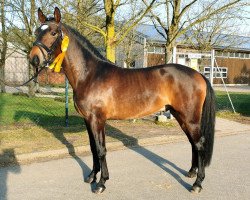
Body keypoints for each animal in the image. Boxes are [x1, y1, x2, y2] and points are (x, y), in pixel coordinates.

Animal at [29, 8, 215, 195]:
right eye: (37, 32)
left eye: (53, 33)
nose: (34, 59)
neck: (90, 75)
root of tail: (198, 75)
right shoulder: (88, 120)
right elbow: (93, 148)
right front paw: (92, 176)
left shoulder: (97, 120)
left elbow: (101, 149)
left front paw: (101, 183)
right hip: (181, 116)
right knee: (193, 143)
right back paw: (191, 172)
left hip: (190, 118)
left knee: (199, 144)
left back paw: (197, 183)